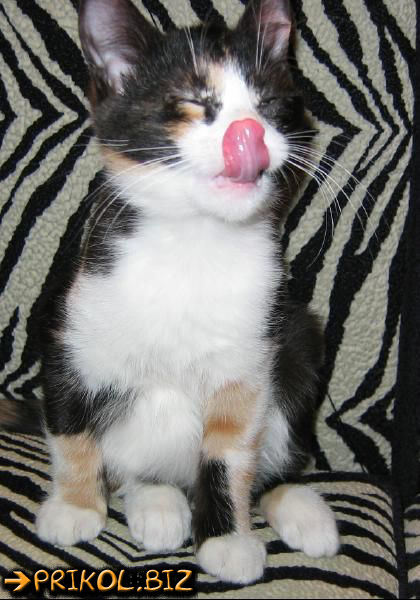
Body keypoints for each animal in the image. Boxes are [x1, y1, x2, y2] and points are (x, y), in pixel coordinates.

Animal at [33, 0, 340, 585]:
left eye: (268, 105)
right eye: (194, 102)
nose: (249, 132)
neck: (196, 241)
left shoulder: (251, 353)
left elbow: (230, 449)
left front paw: (225, 539)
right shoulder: (73, 318)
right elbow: (69, 417)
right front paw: (75, 506)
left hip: (298, 335)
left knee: (275, 455)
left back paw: (300, 507)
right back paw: (155, 502)